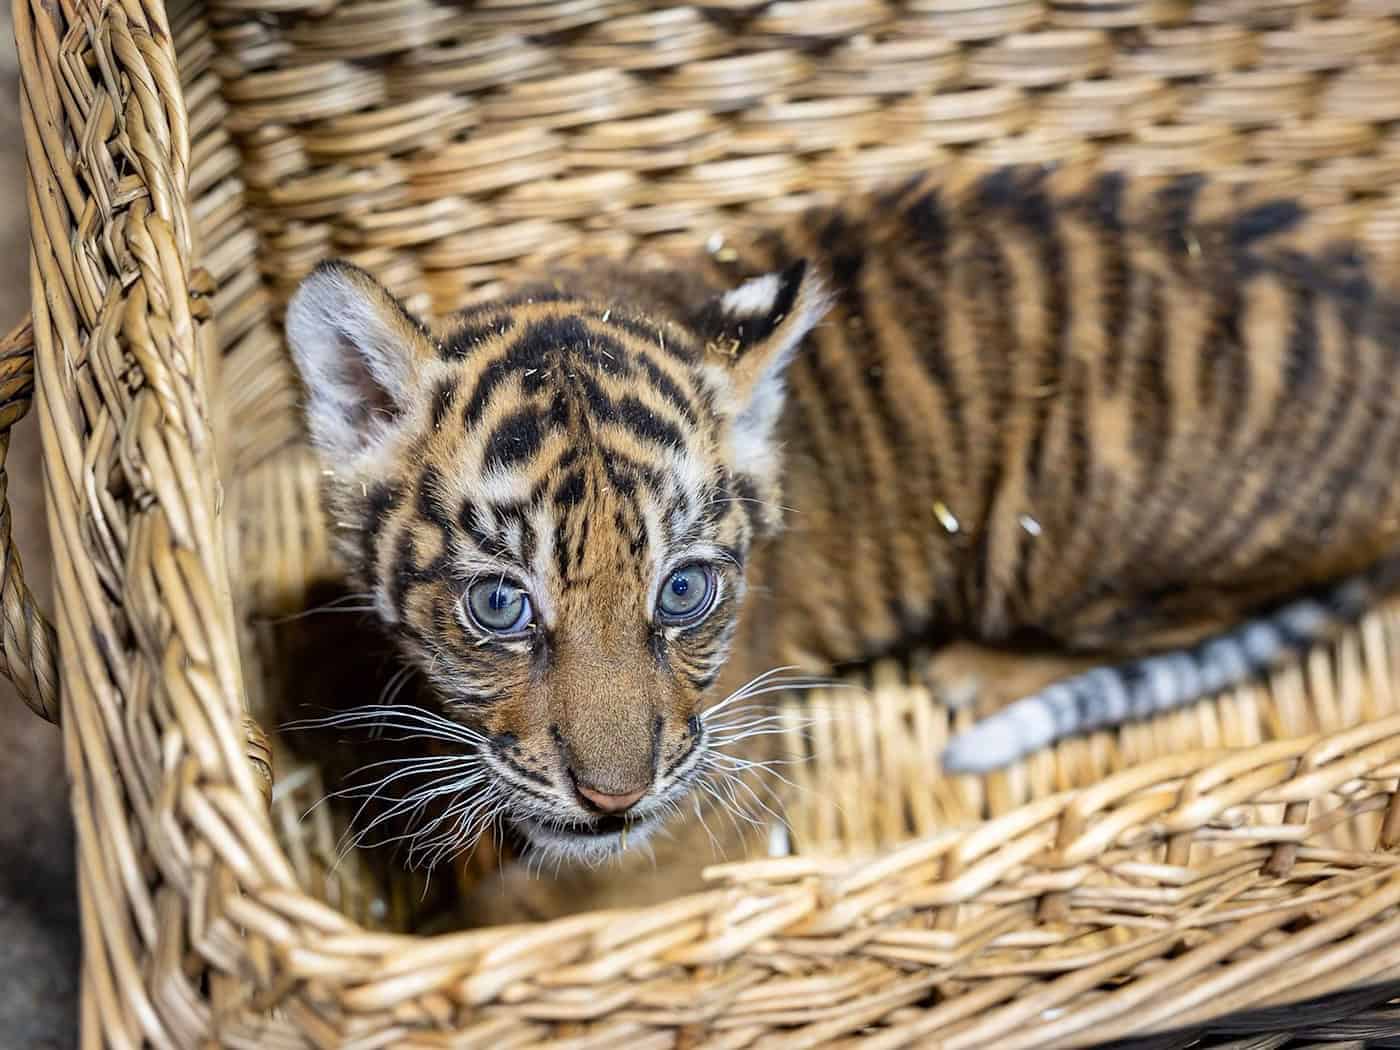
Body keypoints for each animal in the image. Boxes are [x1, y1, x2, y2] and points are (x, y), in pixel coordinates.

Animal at [285, 162, 1400, 905]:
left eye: (682, 591)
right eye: (500, 604)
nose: (613, 797)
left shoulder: (706, 805)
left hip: (1064, 532)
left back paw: (978, 673)